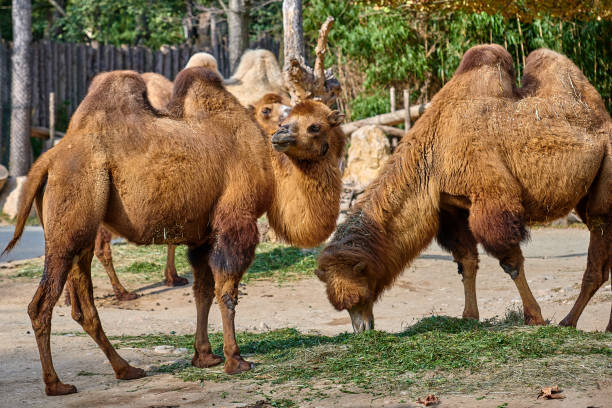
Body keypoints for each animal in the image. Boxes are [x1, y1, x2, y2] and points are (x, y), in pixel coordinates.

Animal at [4, 67, 346, 396]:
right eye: (284, 118)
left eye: (314, 126)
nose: (281, 134)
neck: (268, 167)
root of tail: (47, 160)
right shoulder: (237, 219)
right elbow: (227, 290)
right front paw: (235, 360)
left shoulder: (205, 234)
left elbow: (202, 291)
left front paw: (205, 356)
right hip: (72, 216)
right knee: (41, 304)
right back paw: (56, 385)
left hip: (82, 230)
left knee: (83, 304)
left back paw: (126, 369)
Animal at [314, 44, 608, 334]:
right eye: (343, 306)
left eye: (361, 294)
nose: (362, 329)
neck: (433, 156)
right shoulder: (451, 209)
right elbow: (466, 262)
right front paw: (468, 316)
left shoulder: (493, 198)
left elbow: (510, 263)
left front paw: (534, 316)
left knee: (598, 243)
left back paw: (570, 322)